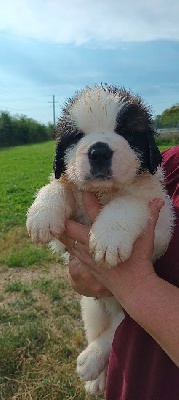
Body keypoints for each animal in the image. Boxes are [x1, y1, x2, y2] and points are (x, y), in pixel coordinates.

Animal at [26, 86, 173, 396]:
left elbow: (128, 203)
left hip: (129, 308)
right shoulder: (67, 235)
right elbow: (60, 185)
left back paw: (92, 363)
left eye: (124, 131)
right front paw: (42, 214)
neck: (105, 191)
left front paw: (108, 239)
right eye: (77, 136)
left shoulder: (162, 219)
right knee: (104, 328)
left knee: (118, 329)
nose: (99, 151)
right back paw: (96, 376)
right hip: (91, 306)